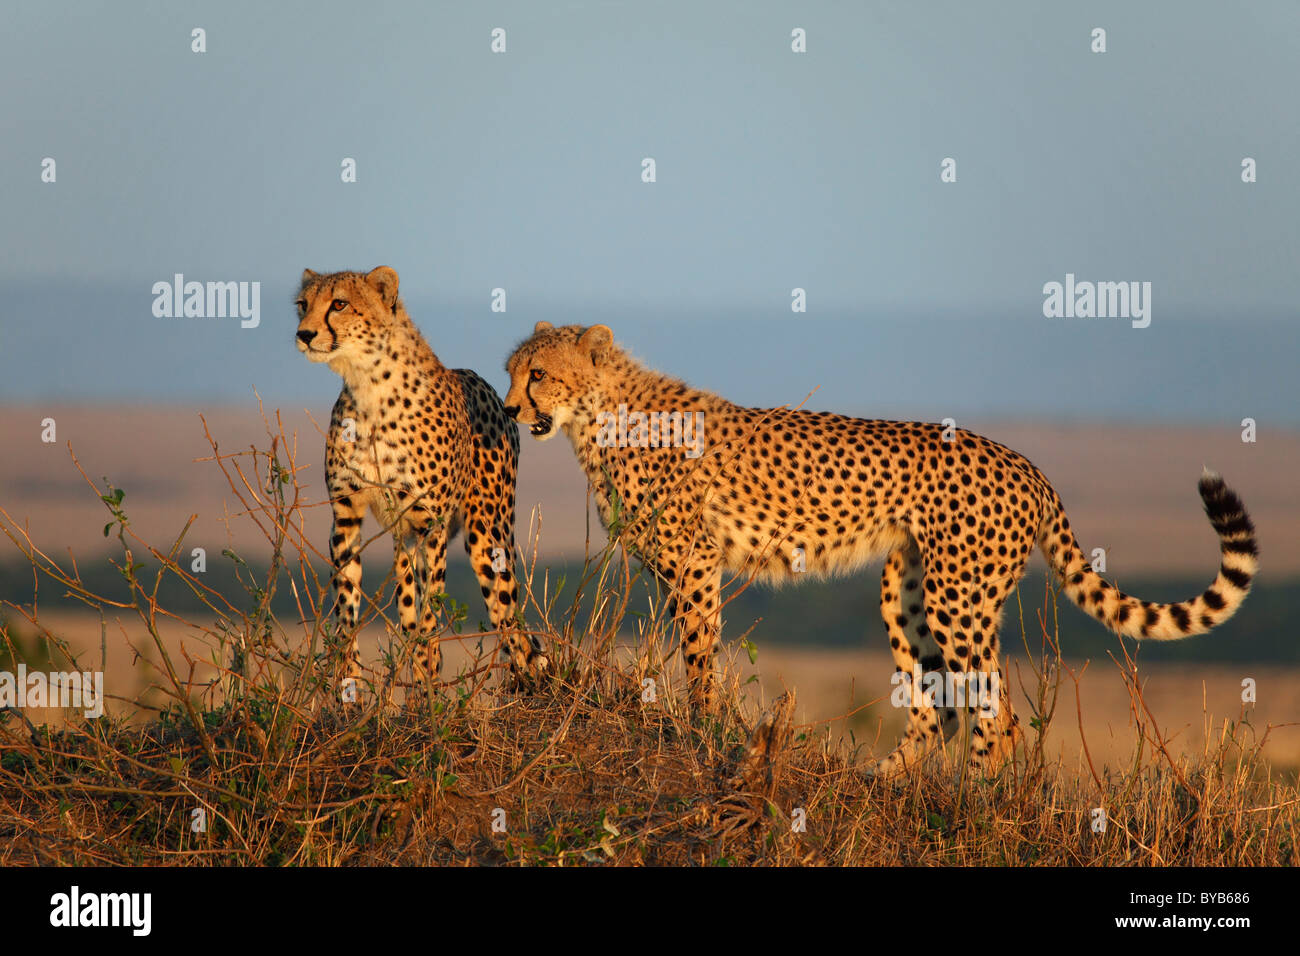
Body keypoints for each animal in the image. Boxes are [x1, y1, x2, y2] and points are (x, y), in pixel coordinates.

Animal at [295, 269, 548, 697]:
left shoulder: (431, 522)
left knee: (509, 620)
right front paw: (349, 689)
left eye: (340, 304)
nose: (304, 333)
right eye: (302, 304)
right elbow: (347, 606)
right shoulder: (346, 514)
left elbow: (431, 613)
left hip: (487, 536)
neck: (368, 385)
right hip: (405, 539)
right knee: (409, 600)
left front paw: (428, 693)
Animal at [504, 321, 1258, 780]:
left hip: (960, 599)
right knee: (935, 706)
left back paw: (972, 804)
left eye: (538, 374)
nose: (510, 410)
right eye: (512, 372)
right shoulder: (687, 567)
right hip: (909, 591)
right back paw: (885, 783)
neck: (600, 416)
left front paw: (701, 732)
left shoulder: (694, 563)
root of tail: (1027, 463)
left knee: (997, 711)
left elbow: (697, 658)